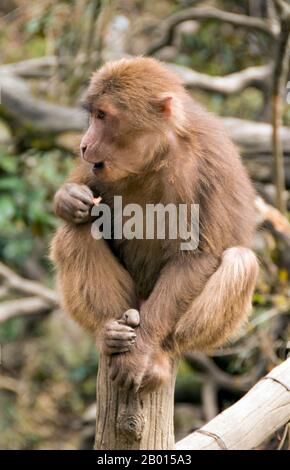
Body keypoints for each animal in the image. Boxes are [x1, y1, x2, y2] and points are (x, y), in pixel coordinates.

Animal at [49, 57, 258, 392]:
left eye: (102, 116)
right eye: (92, 115)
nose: (83, 144)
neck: (156, 157)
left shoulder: (206, 167)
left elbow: (195, 257)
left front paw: (141, 354)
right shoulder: (98, 168)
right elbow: (80, 203)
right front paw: (69, 198)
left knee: (242, 260)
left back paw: (161, 353)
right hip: (129, 300)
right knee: (76, 230)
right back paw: (109, 333)